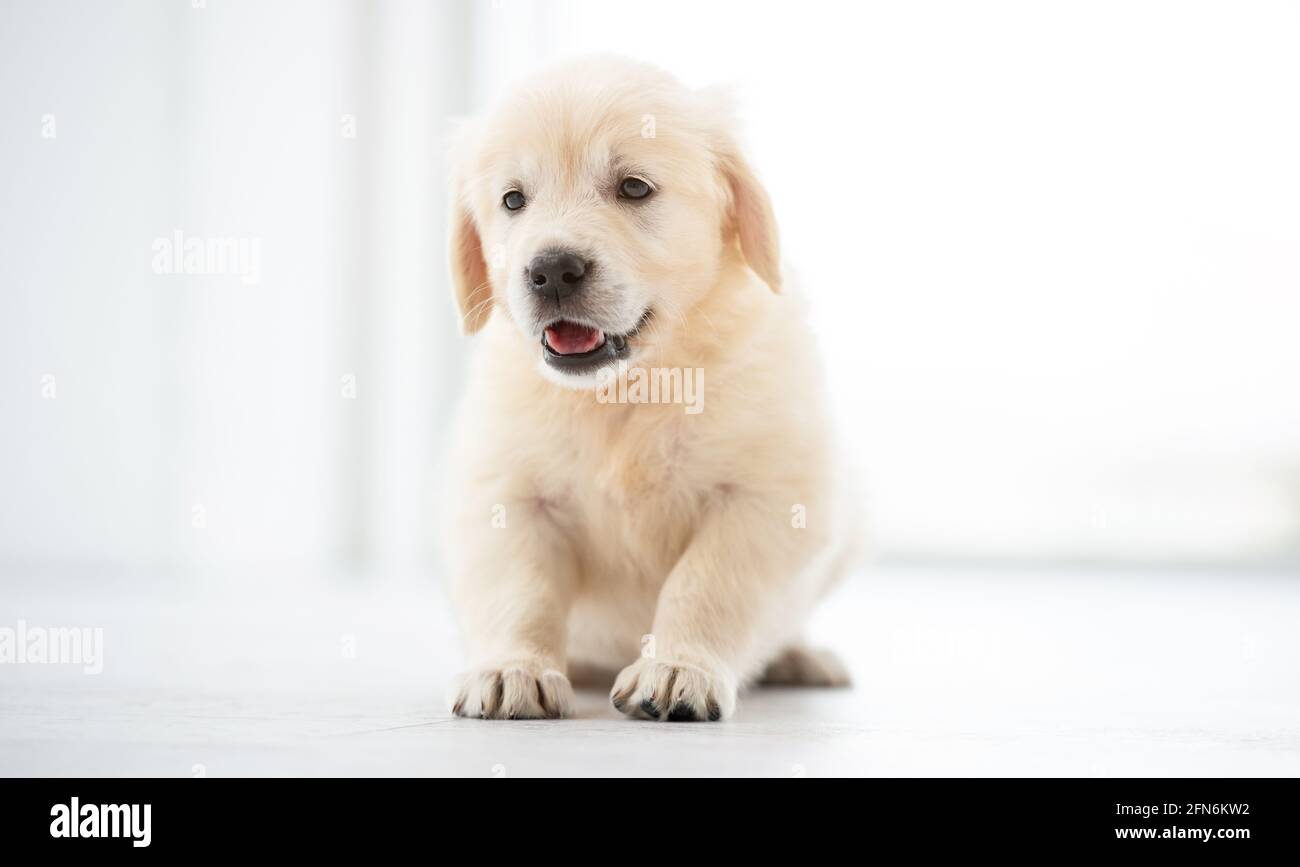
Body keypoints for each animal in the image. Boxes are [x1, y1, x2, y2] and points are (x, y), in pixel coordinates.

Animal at [441, 57, 857, 722]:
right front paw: (512, 668)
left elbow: (707, 583)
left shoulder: (768, 496)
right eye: (513, 200)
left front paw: (679, 668)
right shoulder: (506, 493)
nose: (551, 270)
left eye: (634, 188)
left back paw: (798, 656)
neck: (629, 387)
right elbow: (520, 589)